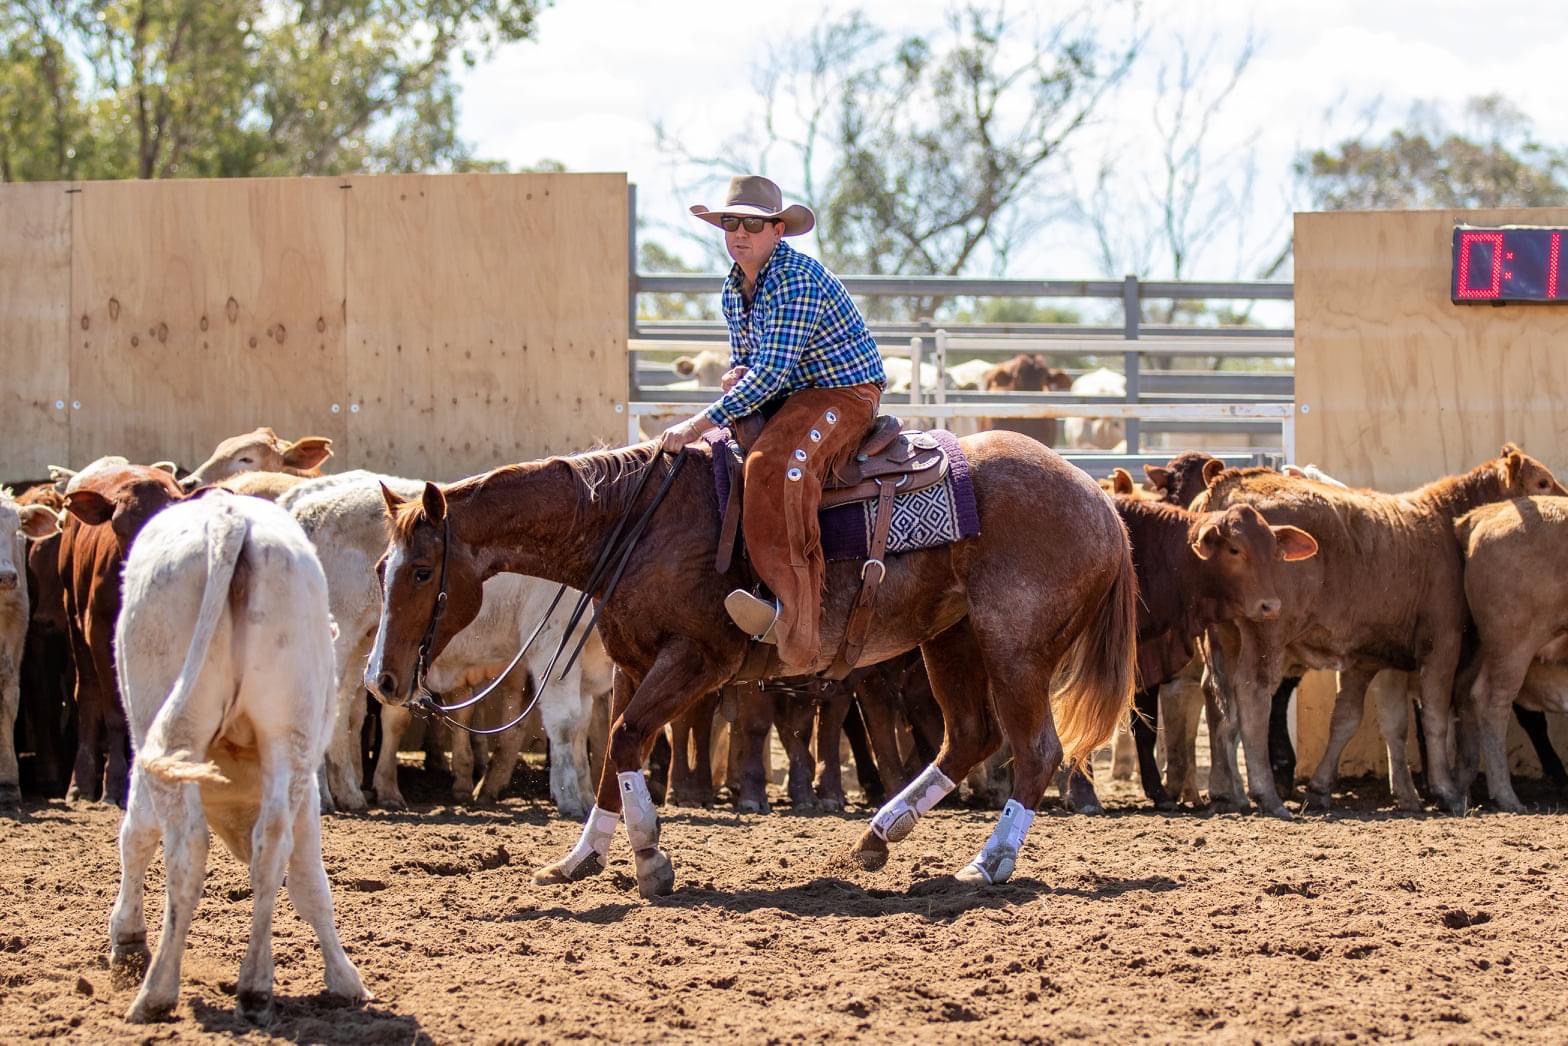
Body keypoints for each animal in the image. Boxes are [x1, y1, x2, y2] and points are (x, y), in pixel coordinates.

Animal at [57, 465, 187, 805]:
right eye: (117, 526)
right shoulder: (101, 632)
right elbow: (116, 709)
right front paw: (116, 784)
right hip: (74, 614)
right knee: (88, 693)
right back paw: (80, 784)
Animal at [108, 492, 367, 1024]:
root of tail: (229, 520)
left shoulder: (146, 758)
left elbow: (136, 835)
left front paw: (127, 937)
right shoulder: (304, 785)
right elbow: (307, 877)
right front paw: (343, 977)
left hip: (168, 726)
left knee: (186, 847)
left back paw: (157, 990)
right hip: (288, 732)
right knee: (272, 848)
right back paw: (254, 988)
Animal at [364, 429, 1136, 898]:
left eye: (423, 570)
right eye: (380, 568)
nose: (383, 680)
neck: (637, 524)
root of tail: (1100, 501)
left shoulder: (697, 659)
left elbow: (626, 739)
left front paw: (651, 862)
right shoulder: (634, 666)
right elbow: (617, 750)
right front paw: (584, 856)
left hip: (1013, 648)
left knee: (1034, 749)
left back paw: (989, 860)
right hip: (950, 637)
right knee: (969, 736)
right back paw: (880, 833)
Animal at [1194, 445, 1566, 816]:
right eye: (1542, 482)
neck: (1442, 527)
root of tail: (1226, 484)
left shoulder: (1366, 659)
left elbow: (1348, 719)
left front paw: (1321, 787)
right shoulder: (1442, 641)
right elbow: (1434, 716)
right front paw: (1445, 791)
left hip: (1225, 635)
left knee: (1220, 701)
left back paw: (1228, 792)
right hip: (1266, 630)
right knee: (1253, 694)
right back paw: (1266, 794)